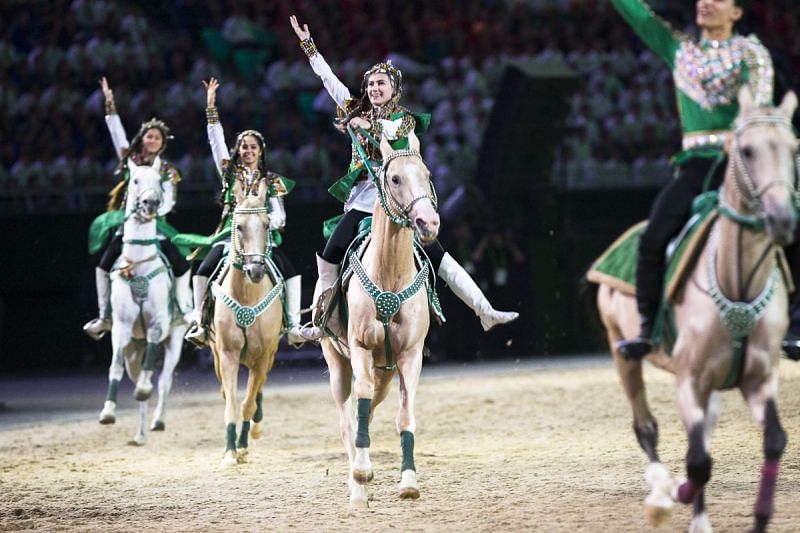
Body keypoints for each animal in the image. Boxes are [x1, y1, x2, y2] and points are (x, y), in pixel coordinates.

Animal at [97, 160, 189, 442]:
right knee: (135, 376)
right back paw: (139, 435)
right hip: (133, 350)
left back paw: (157, 420)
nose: (150, 203)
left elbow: (152, 372)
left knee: (165, 380)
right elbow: (114, 367)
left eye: (160, 181)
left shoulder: (157, 324)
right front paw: (108, 412)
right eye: (135, 180)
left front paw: (145, 389)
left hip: (175, 340)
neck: (138, 265)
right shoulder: (122, 328)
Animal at [208, 179, 282, 466]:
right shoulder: (227, 354)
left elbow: (248, 403)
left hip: (268, 356)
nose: (255, 271)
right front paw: (229, 452)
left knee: (257, 391)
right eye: (238, 226)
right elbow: (231, 402)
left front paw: (241, 444)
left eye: (266, 225)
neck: (248, 297)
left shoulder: (263, 356)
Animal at [322, 131, 440, 504]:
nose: (428, 223)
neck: (389, 276)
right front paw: (362, 473)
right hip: (337, 364)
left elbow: (405, 416)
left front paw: (409, 482)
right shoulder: (359, 347)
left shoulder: (410, 356)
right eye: (395, 178)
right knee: (348, 416)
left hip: (386, 373)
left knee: (371, 408)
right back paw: (356, 485)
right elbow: (359, 401)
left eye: (427, 175)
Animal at [592, 89, 796, 528]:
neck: (738, 285)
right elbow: (698, 460)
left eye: (794, 149)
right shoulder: (690, 380)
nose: (782, 218)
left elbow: (773, 440)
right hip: (621, 350)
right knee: (647, 426)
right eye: (747, 150)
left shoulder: (759, 378)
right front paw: (677, 499)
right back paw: (662, 491)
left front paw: (758, 518)